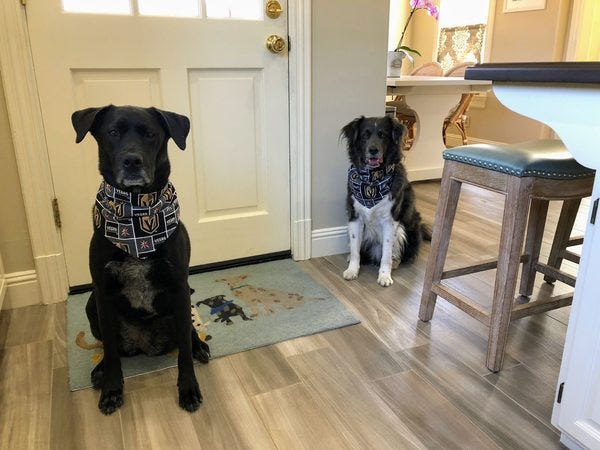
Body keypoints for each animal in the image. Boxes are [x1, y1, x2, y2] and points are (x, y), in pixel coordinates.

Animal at [72, 104, 211, 414]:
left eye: (150, 134)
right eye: (112, 132)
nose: (132, 161)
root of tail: (144, 344)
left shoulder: (179, 285)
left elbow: (184, 353)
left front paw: (188, 388)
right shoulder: (102, 290)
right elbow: (111, 352)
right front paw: (111, 388)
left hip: (183, 301)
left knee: (187, 334)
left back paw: (199, 346)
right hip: (91, 303)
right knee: (109, 345)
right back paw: (100, 369)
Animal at [340, 115, 428, 284]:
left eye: (383, 135)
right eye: (365, 135)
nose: (373, 150)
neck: (372, 182)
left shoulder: (390, 222)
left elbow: (386, 254)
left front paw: (385, 275)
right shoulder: (355, 217)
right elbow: (355, 250)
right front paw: (352, 270)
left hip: (405, 229)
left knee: (400, 255)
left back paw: (395, 262)